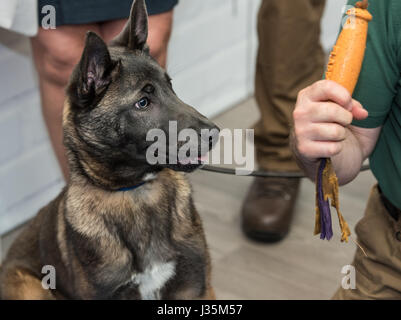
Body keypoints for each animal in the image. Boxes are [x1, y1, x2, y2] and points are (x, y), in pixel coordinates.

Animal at [0, 0, 219, 300]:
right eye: (142, 102)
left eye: (170, 86)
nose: (214, 134)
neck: (138, 192)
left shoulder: (197, 289)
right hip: (32, 290)